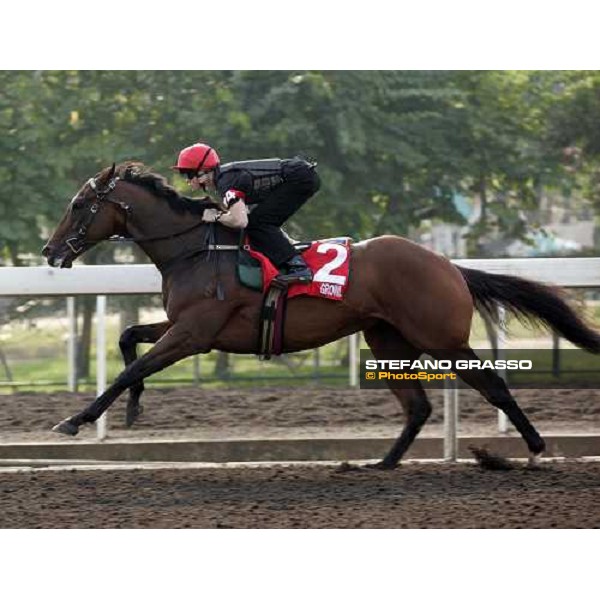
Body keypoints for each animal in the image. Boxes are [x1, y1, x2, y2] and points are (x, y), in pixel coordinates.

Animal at [42, 163, 600, 468]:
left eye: (79, 205)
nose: (49, 251)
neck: (194, 249)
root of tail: (448, 264)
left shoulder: (195, 332)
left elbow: (131, 365)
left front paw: (75, 420)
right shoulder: (186, 326)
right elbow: (128, 339)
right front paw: (133, 409)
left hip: (440, 339)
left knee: (494, 385)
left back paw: (535, 448)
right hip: (386, 340)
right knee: (418, 406)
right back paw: (380, 464)